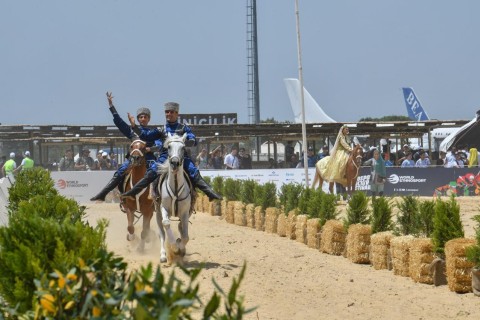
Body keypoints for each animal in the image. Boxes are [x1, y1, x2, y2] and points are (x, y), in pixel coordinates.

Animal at [155, 133, 190, 264]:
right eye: (169, 147)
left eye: (183, 148)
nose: (174, 162)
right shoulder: (163, 208)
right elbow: (166, 224)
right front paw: (175, 248)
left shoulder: (185, 212)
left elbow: (185, 236)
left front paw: (181, 249)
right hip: (158, 213)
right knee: (162, 233)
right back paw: (163, 255)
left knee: (181, 228)